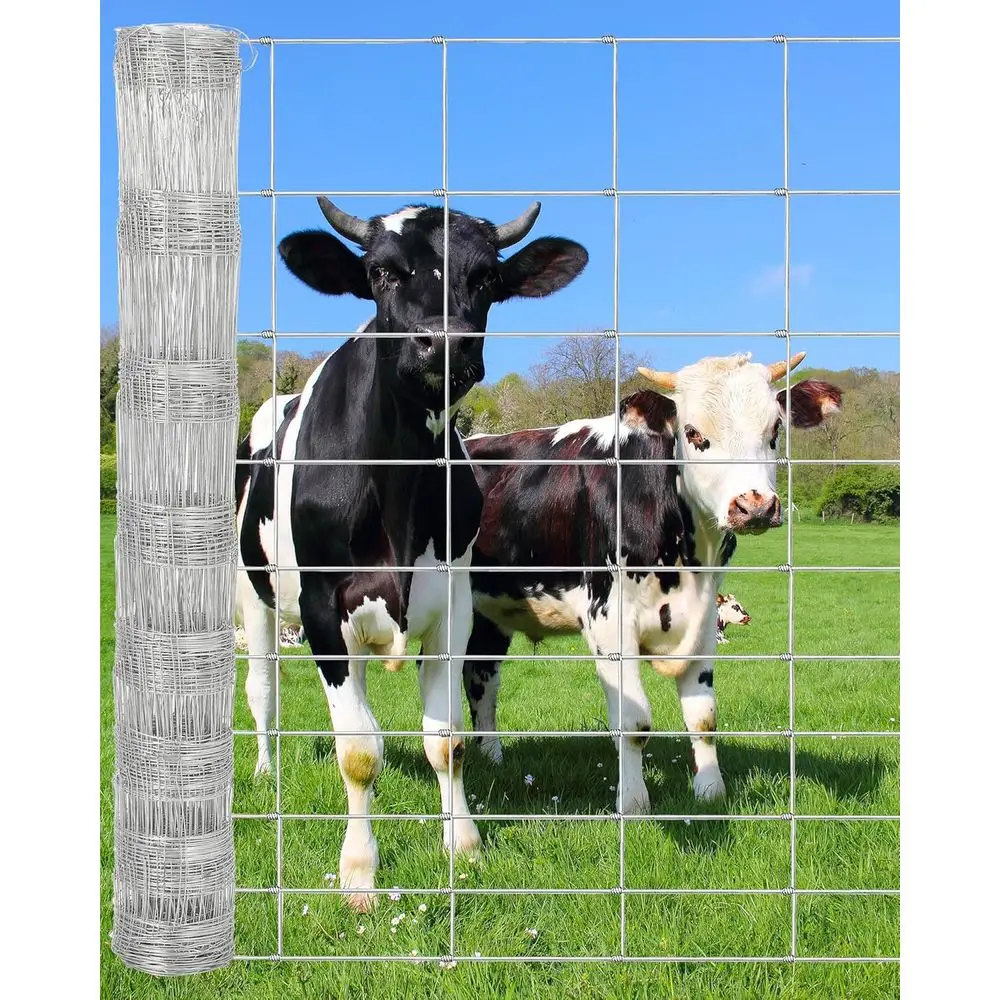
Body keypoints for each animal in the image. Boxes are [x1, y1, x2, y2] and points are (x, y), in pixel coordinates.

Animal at [236, 196, 588, 911]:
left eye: (487, 277)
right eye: (380, 272)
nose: (444, 342)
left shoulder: (452, 605)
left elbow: (446, 740)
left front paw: (465, 844)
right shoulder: (322, 610)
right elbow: (357, 753)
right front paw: (359, 873)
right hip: (250, 591)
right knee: (262, 690)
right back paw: (263, 768)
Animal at [460, 352, 842, 815]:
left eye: (775, 430)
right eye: (692, 432)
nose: (754, 506)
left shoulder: (704, 620)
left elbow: (704, 717)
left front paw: (710, 791)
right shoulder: (608, 620)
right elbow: (634, 722)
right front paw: (634, 801)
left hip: (489, 613)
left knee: (481, 679)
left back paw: (492, 758)